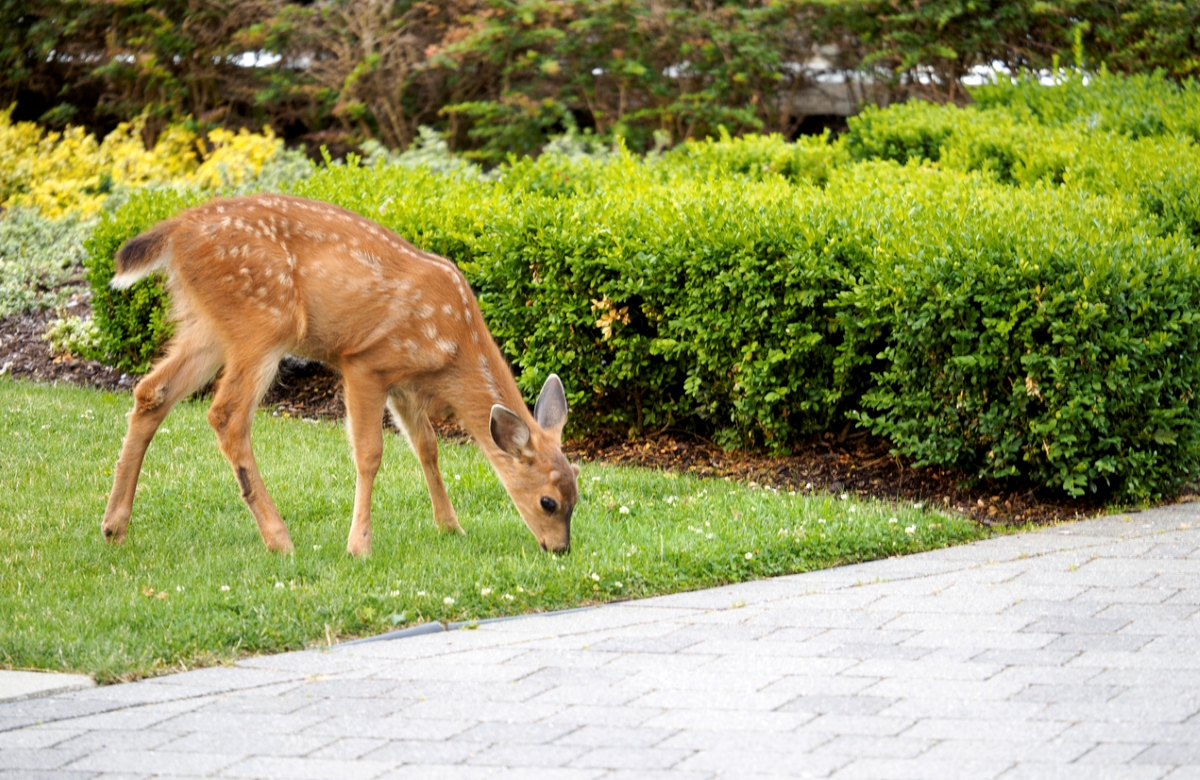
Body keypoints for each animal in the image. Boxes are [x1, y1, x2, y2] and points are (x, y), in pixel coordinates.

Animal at [100, 195, 578, 559]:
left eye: (577, 493)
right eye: (549, 502)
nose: (560, 549)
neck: (453, 349)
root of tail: (175, 231)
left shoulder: (403, 384)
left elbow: (427, 446)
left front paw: (450, 527)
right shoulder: (366, 362)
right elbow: (370, 453)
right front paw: (359, 545)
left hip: (208, 325)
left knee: (151, 391)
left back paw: (113, 527)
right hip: (262, 322)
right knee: (226, 415)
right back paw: (279, 539)